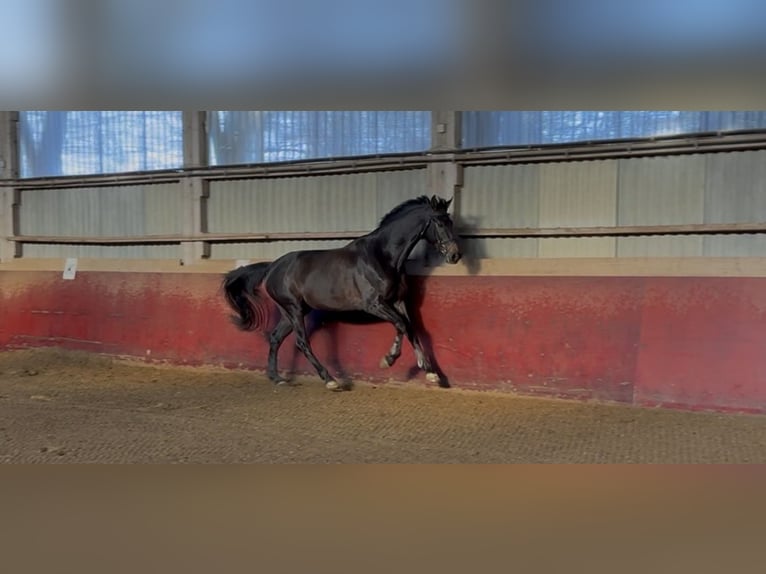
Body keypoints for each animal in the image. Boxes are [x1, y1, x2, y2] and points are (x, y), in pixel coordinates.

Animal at [222, 194, 462, 391]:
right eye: (439, 222)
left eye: (450, 222)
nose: (455, 255)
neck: (382, 256)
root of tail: (272, 267)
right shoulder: (374, 304)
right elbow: (401, 325)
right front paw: (388, 359)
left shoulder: (399, 301)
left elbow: (411, 328)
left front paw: (431, 374)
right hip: (294, 309)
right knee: (302, 342)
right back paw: (330, 380)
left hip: (291, 312)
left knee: (275, 338)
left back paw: (277, 378)